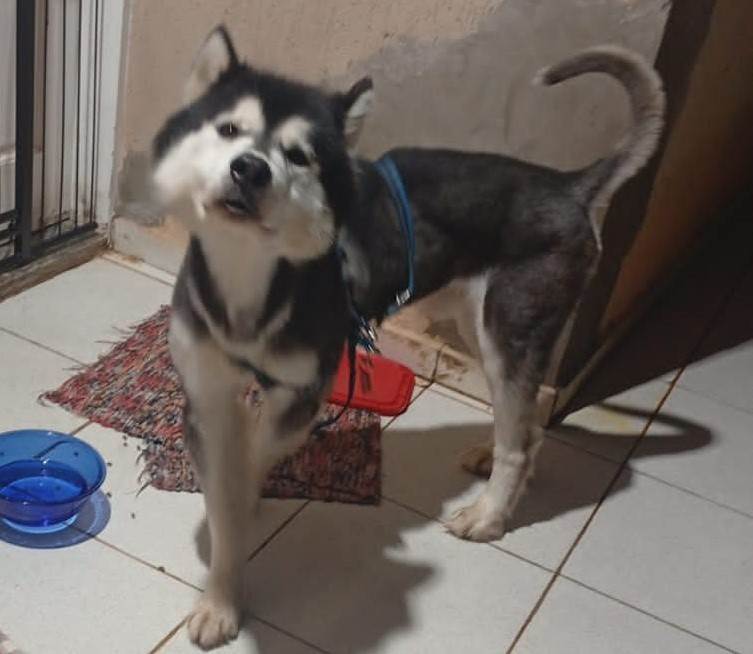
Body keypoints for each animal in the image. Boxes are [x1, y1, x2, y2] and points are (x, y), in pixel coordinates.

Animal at [151, 26, 664, 649]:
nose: (250, 169)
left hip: (509, 326)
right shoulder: (205, 396)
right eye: (228, 129)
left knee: (519, 437)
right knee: (526, 423)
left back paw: (490, 514)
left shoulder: (304, 391)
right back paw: (494, 462)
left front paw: (244, 504)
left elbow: (255, 453)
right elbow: (224, 492)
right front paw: (221, 597)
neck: (250, 276)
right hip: (479, 324)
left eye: (298, 156)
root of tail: (567, 186)